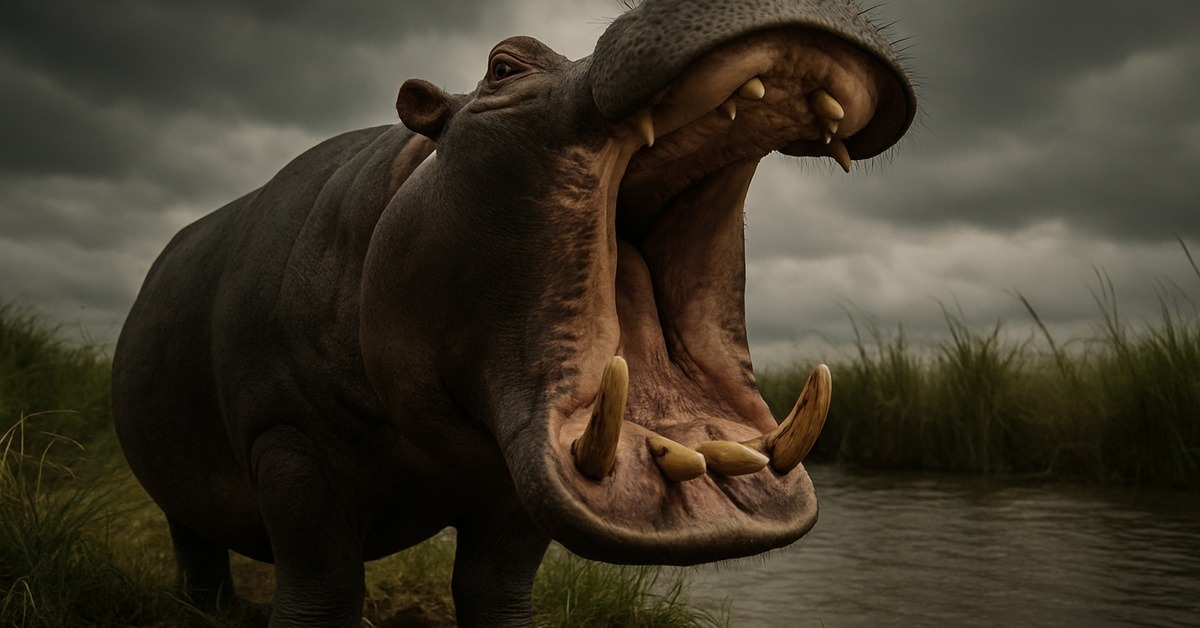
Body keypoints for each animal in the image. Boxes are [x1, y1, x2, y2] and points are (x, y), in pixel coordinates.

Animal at [112, 0, 916, 624]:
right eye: (504, 66)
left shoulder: (505, 486)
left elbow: (494, 589)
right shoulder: (288, 442)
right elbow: (321, 592)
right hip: (180, 491)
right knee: (196, 548)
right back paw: (204, 610)